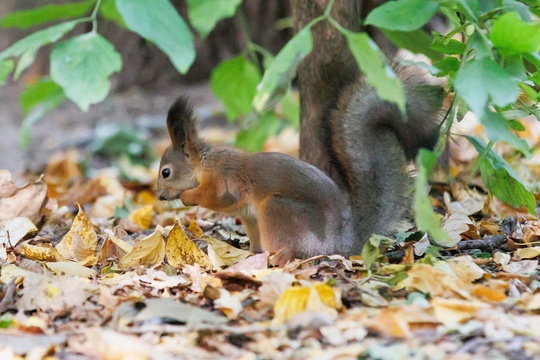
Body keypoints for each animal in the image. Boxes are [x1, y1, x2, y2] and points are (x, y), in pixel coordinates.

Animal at [156, 64, 442, 268]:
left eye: (166, 172)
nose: (159, 196)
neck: (205, 162)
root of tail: (339, 242)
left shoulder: (223, 177)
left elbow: (220, 196)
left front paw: (188, 196)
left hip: (278, 210)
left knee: (288, 251)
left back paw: (273, 260)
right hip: (255, 220)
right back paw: (251, 256)